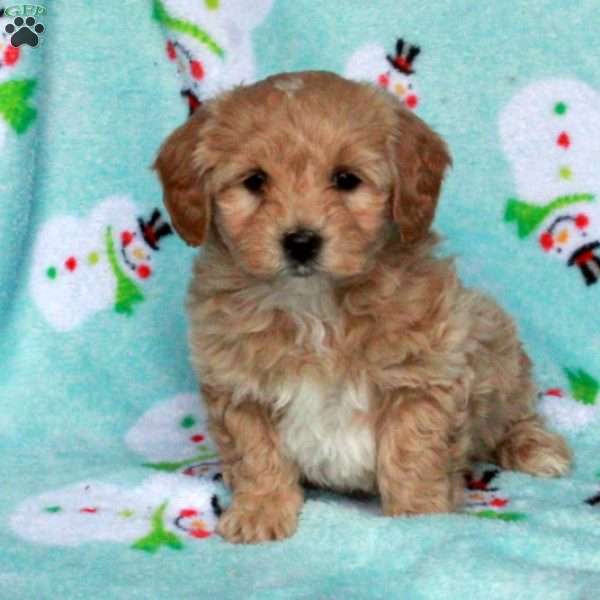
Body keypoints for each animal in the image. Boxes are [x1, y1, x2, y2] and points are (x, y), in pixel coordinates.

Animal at [152, 70, 568, 544]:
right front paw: (261, 510)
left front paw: (420, 517)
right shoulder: (238, 387)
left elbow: (413, 451)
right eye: (254, 181)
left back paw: (537, 448)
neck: (315, 306)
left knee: (514, 415)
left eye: (346, 179)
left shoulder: (422, 375)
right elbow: (256, 454)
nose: (300, 241)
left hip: (495, 343)